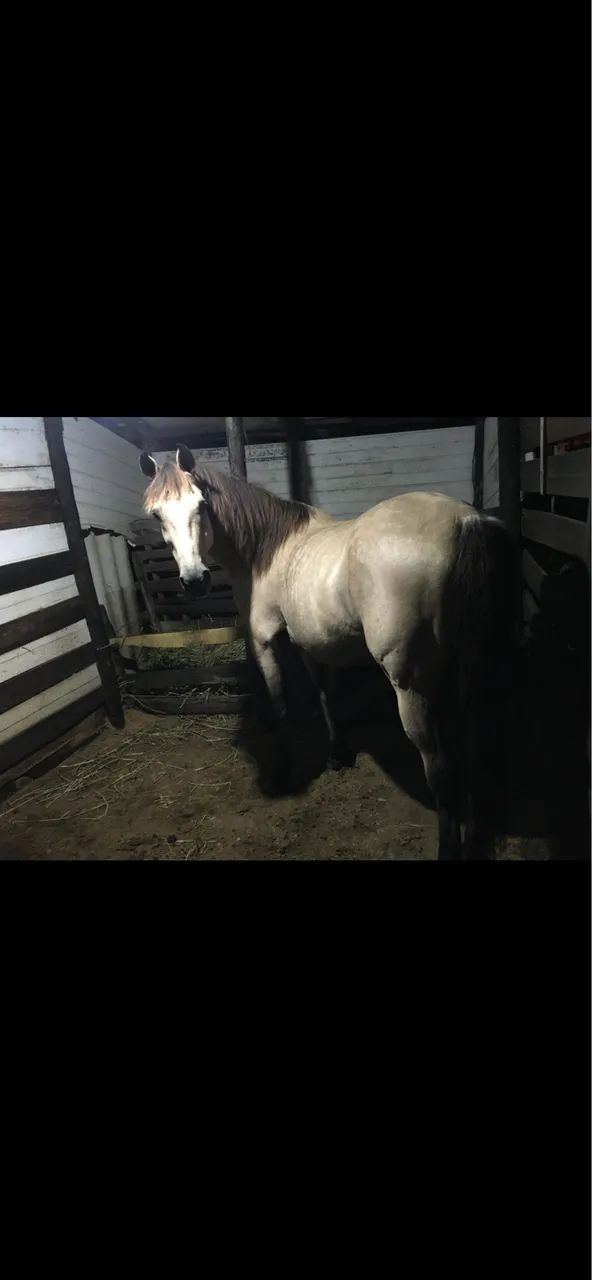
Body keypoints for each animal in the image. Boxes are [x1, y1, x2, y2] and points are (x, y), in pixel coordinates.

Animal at [140, 444, 518, 860]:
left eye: (202, 505)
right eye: (157, 514)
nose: (195, 580)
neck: (266, 551)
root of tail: (465, 519)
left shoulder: (265, 640)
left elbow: (281, 705)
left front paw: (281, 774)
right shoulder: (312, 643)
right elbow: (325, 696)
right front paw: (337, 756)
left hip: (410, 685)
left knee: (437, 765)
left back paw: (448, 846)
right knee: (473, 744)